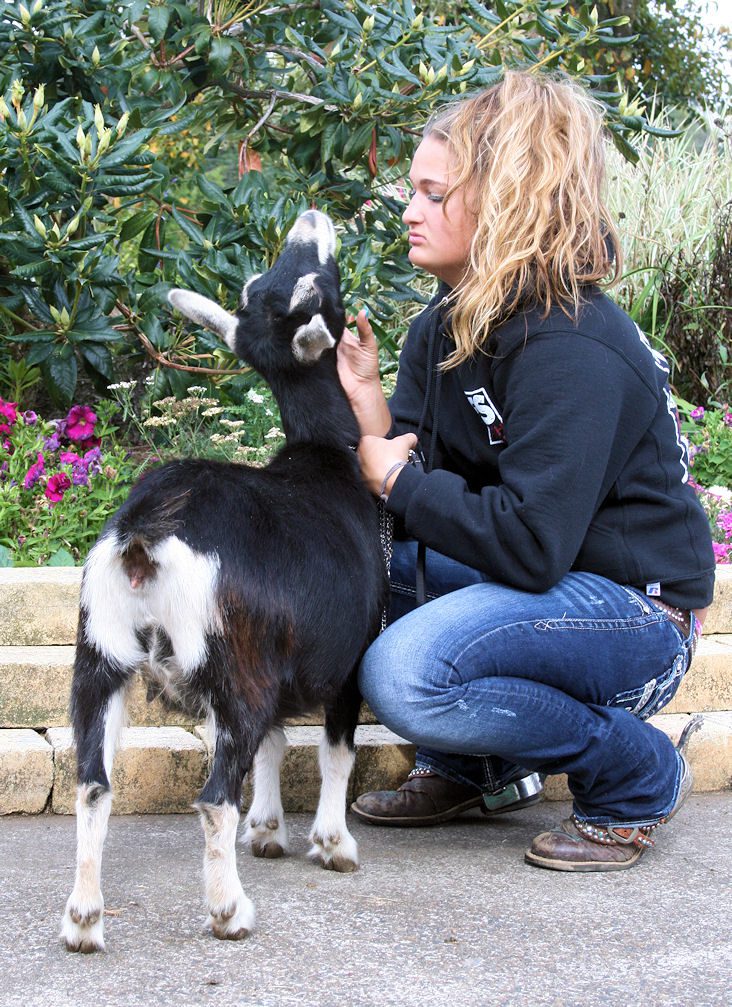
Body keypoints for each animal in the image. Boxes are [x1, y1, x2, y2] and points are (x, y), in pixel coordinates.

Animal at [60, 209, 389, 952]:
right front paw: (333, 844)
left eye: (257, 290)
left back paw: (84, 919)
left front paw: (267, 829)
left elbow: (273, 745)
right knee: (212, 801)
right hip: (235, 671)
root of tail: (146, 532)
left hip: (101, 659)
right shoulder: (347, 662)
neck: (325, 458)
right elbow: (334, 751)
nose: (312, 217)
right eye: (317, 288)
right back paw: (228, 910)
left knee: (92, 785)